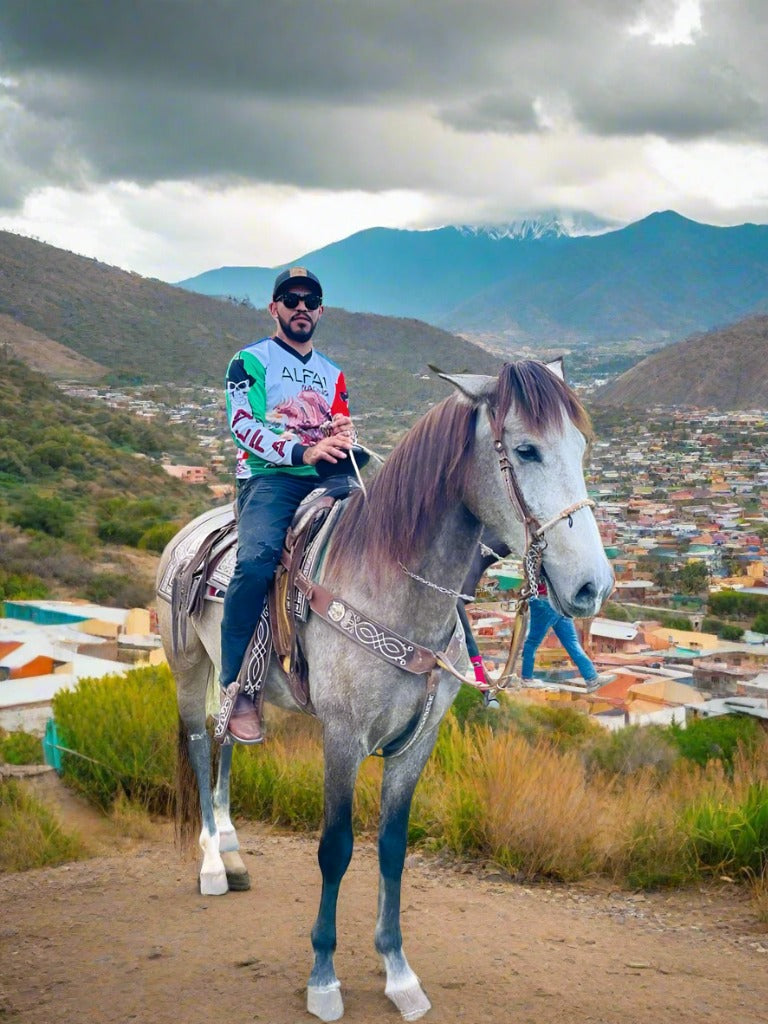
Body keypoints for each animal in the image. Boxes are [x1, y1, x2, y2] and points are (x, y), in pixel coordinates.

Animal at [156, 364, 614, 1019]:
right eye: (526, 450)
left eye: (581, 449)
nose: (591, 587)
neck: (395, 582)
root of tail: (192, 533)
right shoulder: (344, 736)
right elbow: (336, 847)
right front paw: (323, 977)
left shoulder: (418, 741)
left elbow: (394, 847)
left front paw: (398, 972)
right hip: (188, 667)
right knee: (198, 745)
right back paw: (214, 861)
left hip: (236, 678)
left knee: (229, 741)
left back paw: (234, 848)